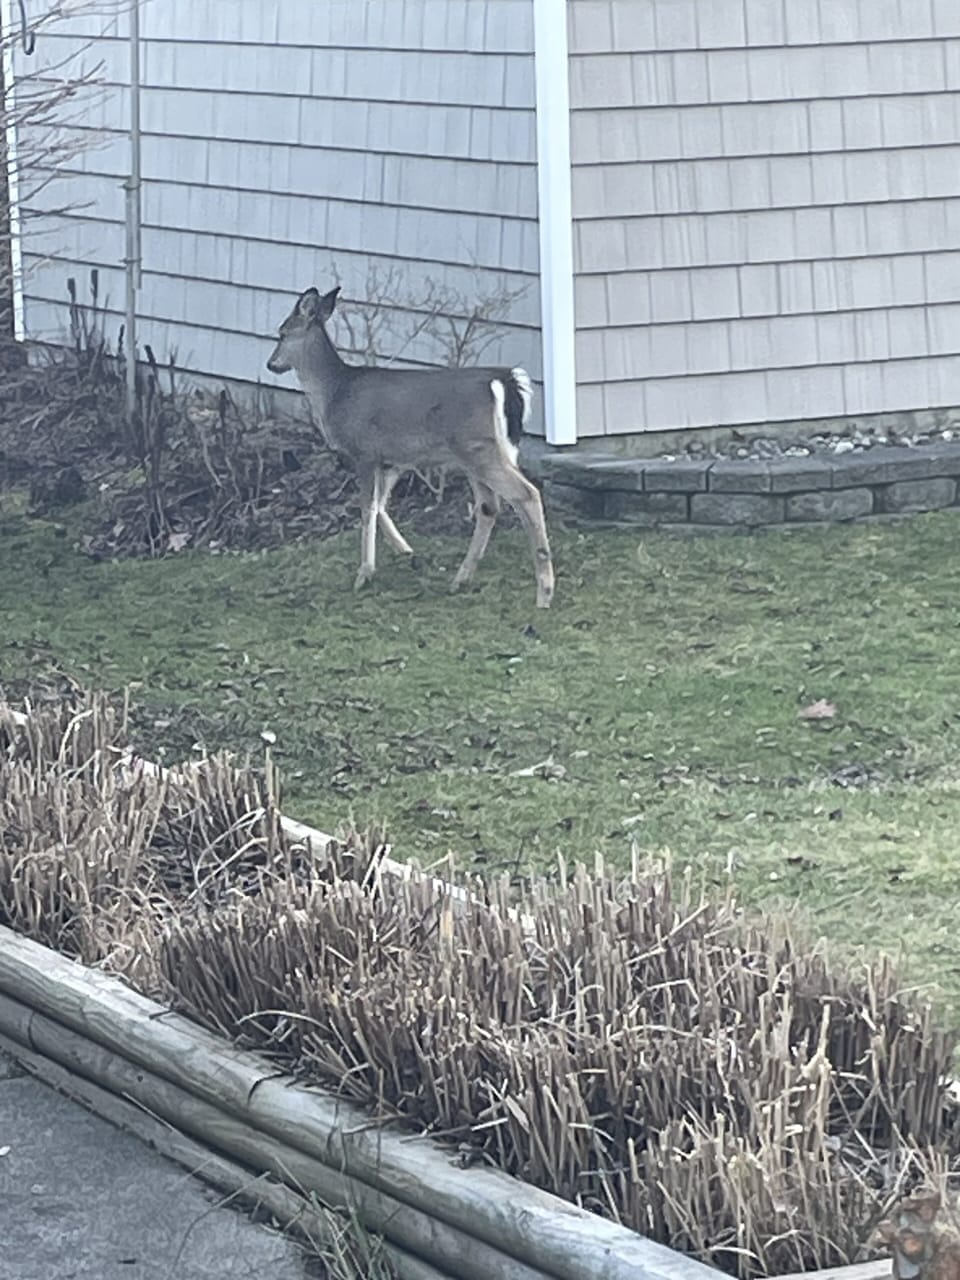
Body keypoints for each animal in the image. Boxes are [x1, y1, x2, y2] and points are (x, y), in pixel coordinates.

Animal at [266, 286, 555, 609]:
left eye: (282, 333)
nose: (271, 364)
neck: (335, 392)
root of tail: (504, 380)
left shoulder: (365, 452)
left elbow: (367, 508)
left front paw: (365, 573)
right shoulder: (392, 460)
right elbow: (380, 505)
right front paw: (408, 553)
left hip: (478, 448)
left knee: (526, 494)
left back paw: (544, 592)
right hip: (484, 452)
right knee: (490, 507)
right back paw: (461, 579)